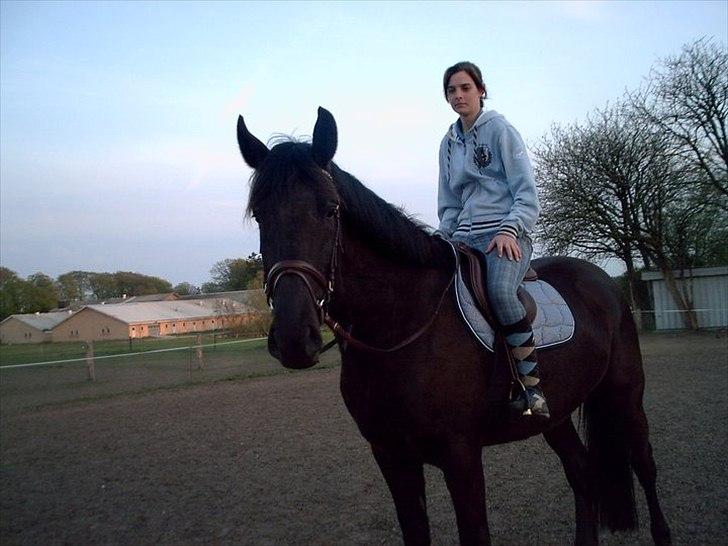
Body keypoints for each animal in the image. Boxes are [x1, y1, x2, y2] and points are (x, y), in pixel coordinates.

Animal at [236, 107, 671, 546]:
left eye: (329, 210)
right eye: (260, 215)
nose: (294, 338)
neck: (399, 325)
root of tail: (602, 281)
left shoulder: (460, 454)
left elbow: (475, 532)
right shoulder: (391, 456)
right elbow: (415, 531)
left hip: (625, 396)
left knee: (645, 468)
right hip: (557, 413)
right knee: (582, 473)